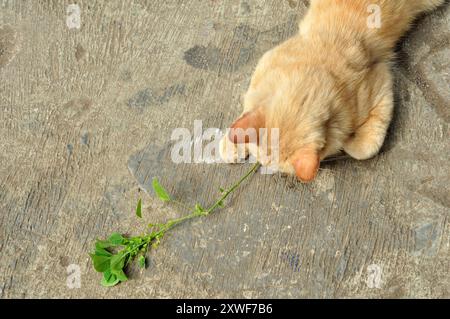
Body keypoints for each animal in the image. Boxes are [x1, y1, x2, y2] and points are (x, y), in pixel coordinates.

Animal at [220, 0, 444, 182]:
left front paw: (349, 142)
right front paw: (230, 145)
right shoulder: (266, 61)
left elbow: (365, 149)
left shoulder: (381, 82)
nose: (264, 168)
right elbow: (243, 115)